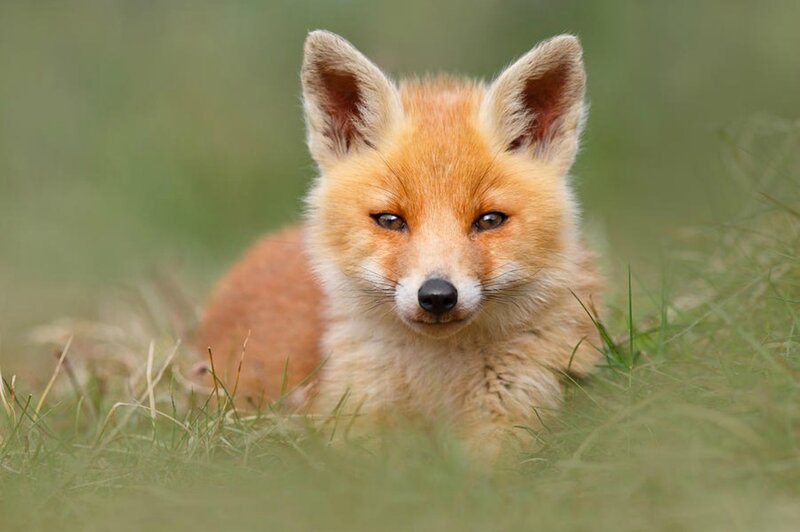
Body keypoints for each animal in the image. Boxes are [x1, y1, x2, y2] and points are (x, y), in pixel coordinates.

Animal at [197, 30, 603, 455]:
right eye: (390, 220)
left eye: (490, 220)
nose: (438, 296)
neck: (436, 386)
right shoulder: (352, 424)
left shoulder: (516, 418)